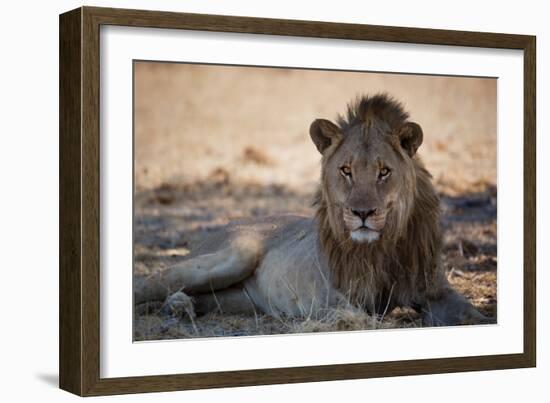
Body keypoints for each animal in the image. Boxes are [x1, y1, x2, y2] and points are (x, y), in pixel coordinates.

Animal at [136, 94, 490, 328]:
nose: (362, 213)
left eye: (384, 172)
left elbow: (471, 314)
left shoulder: (434, 290)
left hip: (237, 298)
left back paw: (180, 307)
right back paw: (172, 307)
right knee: (151, 281)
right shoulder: (330, 295)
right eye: (346, 170)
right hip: (231, 256)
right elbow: (361, 318)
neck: (383, 245)